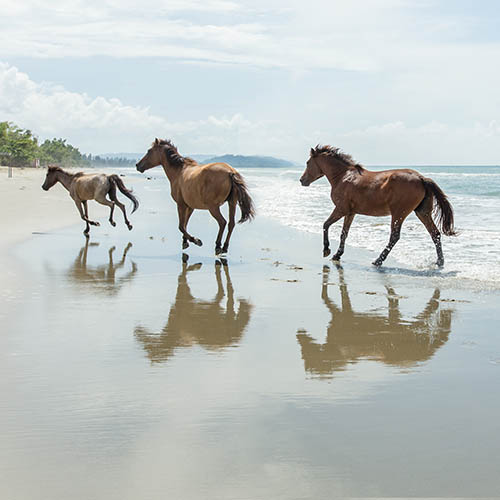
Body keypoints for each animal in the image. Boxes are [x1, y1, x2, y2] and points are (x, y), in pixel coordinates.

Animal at [298, 146, 456, 266]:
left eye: (307, 162)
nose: (302, 180)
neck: (343, 176)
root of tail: (421, 178)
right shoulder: (350, 212)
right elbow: (344, 233)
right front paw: (337, 255)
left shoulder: (341, 209)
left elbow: (326, 224)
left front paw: (327, 250)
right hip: (422, 212)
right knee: (435, 234)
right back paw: (440, 262)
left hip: (399, 213)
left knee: (394, 236)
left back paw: (378, 261)